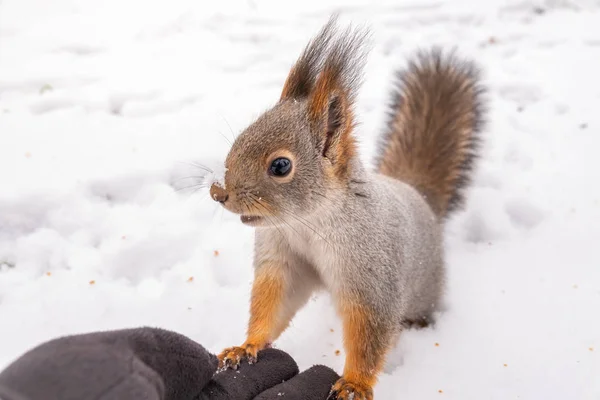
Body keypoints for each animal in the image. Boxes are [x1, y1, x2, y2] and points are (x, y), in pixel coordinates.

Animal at [209, 15, 486, 400]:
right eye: (239, 139)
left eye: (280, 166)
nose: (220, 194)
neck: (309, 222)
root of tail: (417, 194)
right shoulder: (284, 260)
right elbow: (275, 304)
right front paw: (246, 346)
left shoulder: (373, 278)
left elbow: (371, 331)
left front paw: (355, 383)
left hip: (425, 289)